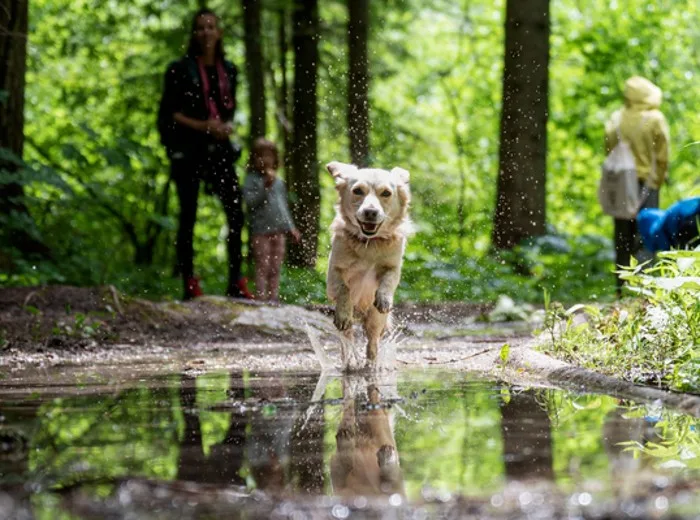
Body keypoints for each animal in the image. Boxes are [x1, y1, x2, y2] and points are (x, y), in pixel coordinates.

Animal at [326, 160, 412, 368]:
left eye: (386, 193)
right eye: (358, 191)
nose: (371, 212)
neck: (369, 243)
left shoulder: (393, 266)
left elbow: (388, 281)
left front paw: (383, 298)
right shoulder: (334, 272)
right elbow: (344, 288)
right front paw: (343, 310)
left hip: (375, 320)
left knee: (372, 344)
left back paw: (371, 365)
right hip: (347, 326)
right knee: (347, 340)